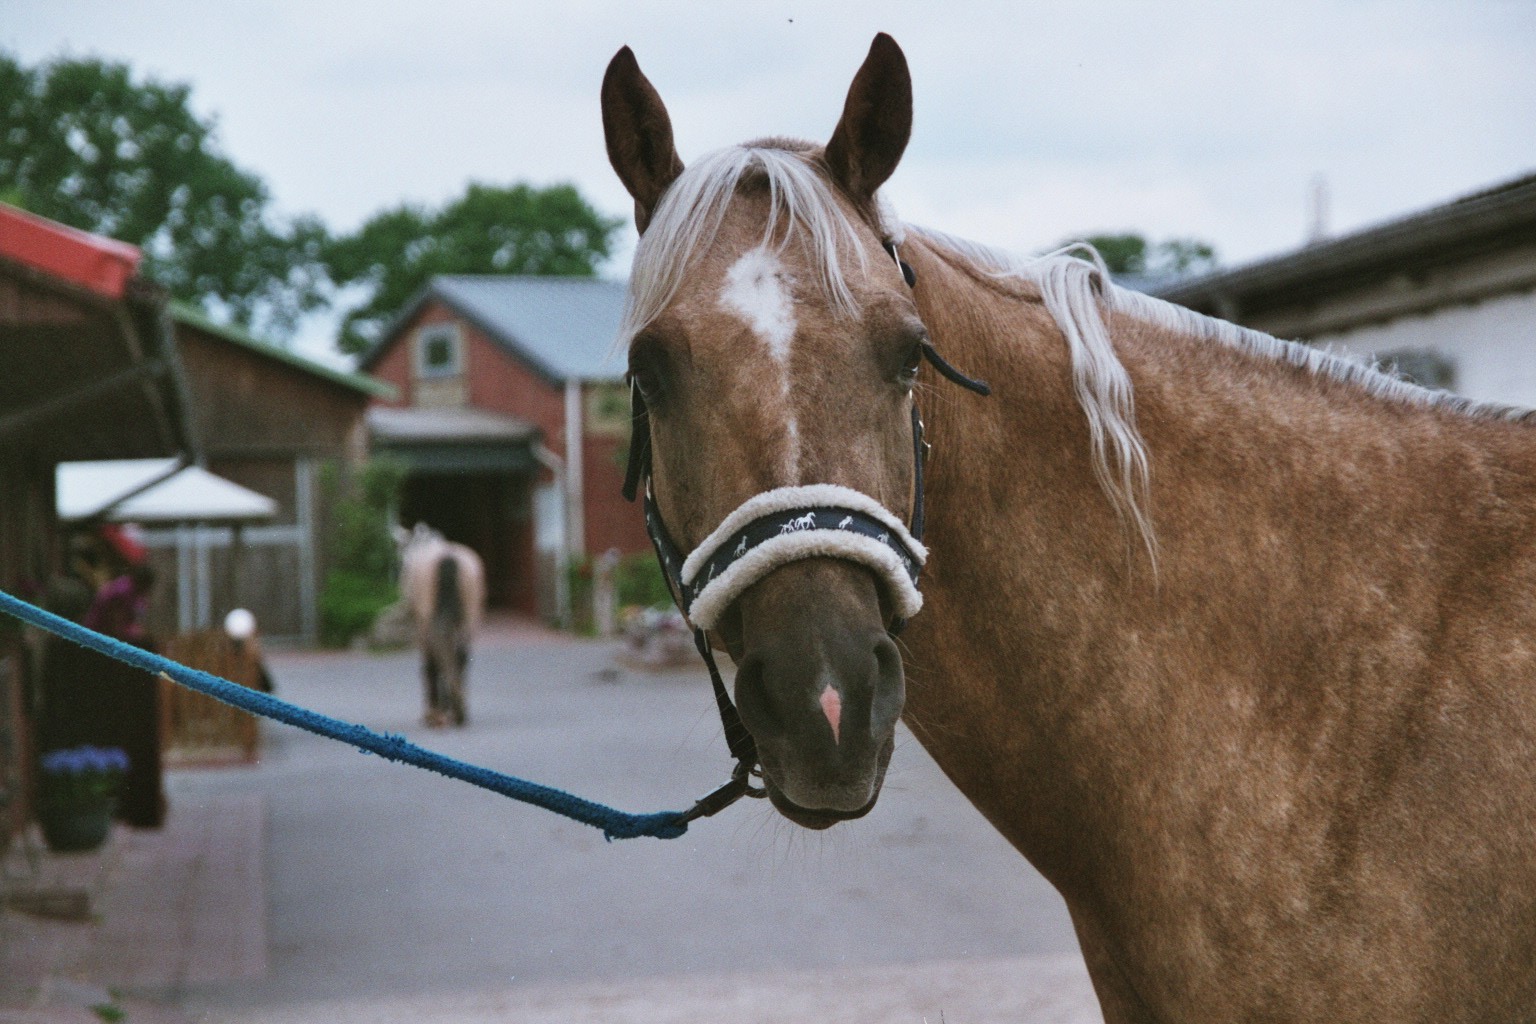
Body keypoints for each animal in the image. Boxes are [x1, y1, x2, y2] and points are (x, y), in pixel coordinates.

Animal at [396, 528, 485, 727]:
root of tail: (448, 557)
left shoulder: (420, 626)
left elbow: (430, 665)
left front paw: (434, 712)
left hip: (428, 620)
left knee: (439, 657)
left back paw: (442, 711)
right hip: (469, 616)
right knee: (460, 656)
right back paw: (459, 710)